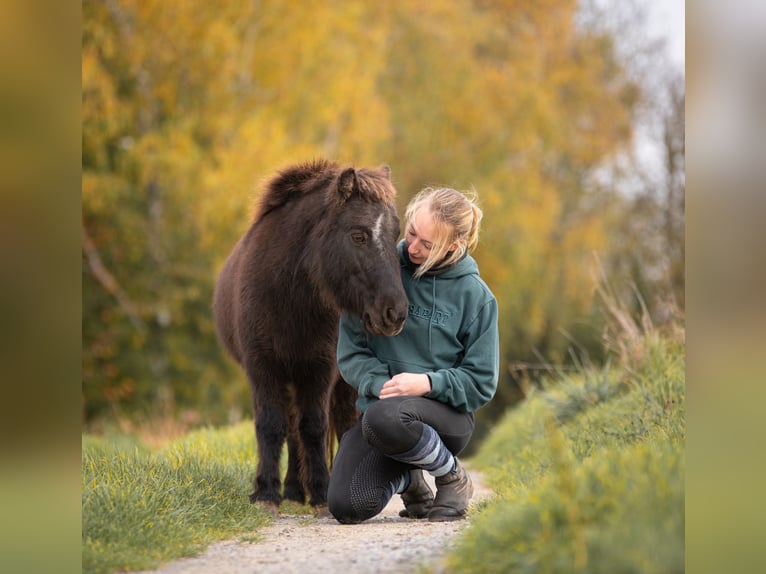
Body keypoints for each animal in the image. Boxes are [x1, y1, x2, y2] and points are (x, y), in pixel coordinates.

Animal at [213, 160, 408, 516]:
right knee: (291, 429)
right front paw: (266, 494)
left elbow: (314, 427)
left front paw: (320, 494)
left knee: (339, 422)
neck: (291, 296)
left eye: (395, 233)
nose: (395, 313)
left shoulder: (320, 369)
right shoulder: (263, 367)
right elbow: (271, 426)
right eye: (358, 235)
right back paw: (291, 491)